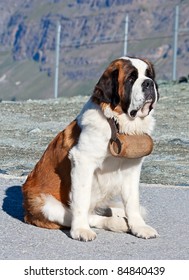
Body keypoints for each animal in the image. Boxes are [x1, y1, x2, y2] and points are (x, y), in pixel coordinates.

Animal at [22, 56, 159, 241]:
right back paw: (115, 223)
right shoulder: (82, 161)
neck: (117, 124)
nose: (149, 83)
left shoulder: (132, 168)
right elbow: (81, 199)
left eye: (149, 75)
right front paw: (80, 230)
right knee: (85, 214)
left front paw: (139, 227)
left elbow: (133, 201)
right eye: (131, 79)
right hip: (46, 205)